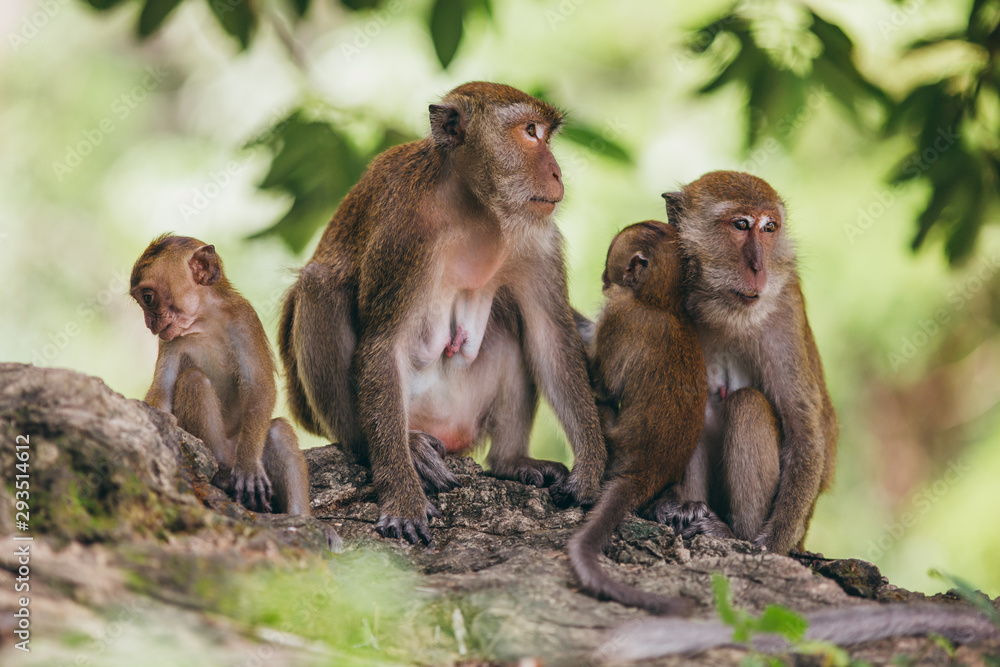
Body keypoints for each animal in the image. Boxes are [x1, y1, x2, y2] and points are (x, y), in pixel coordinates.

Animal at [131, 235, 312, 516]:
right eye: (141, 301)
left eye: (148, 298)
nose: (149, 322)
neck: (204, 319)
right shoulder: (170, 339)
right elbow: (162, 389)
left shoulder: (244, 320)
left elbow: (259, 386)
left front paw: (248, 466)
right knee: (194, 379)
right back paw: (223, 474)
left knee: (277, 431)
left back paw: (300, 517)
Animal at [572, 223, 712, 616]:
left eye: (610, 264)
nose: (603, 279)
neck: (661, 302)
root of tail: (647, 472)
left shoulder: (620, 314)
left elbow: (602, 385)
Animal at [652, 172, 840, 552]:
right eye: (741, 225)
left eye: (769, 228)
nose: (759, 267)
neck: (725, 312)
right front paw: (664, 502)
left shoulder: (784, 311)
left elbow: (805, 433)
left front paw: (770, 544)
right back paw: (687, 507)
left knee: (748, 404)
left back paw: (731, 533)